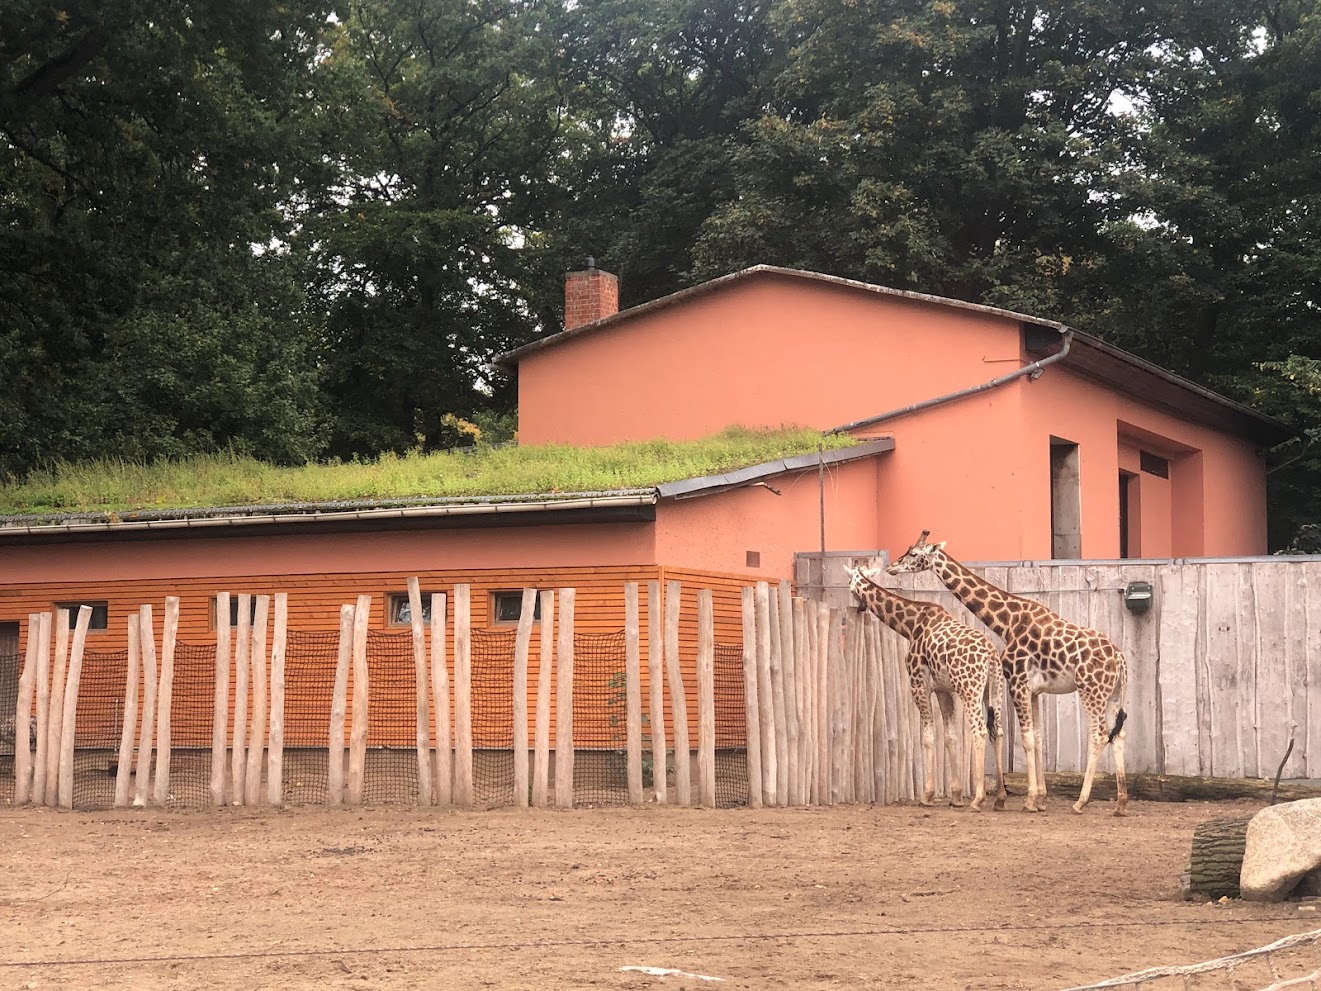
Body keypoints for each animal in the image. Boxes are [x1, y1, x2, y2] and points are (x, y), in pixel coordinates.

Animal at [847, 564, 1007, 812]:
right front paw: (956, 795)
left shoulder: (918, 683)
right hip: (994, 690)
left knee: (979, 730)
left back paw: (978, 798)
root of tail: (990, 655)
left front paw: (927, 795)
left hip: (970, 689)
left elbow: (927, 736)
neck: (911, 625)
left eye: (849, 585)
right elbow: (950, 736)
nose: (859, 606)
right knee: (997, 731)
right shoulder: (944, 689)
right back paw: (999, 797)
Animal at [887, 531, 1129, 816]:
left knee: (1099, 735)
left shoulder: (1017, 682)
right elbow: (1037, 737)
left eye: (913, 554)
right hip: (1113, 695)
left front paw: (1030, 800)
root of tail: (1121, 661)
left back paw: (1080, 802)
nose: (891, 568)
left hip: (1092, 692)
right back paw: (1121, 803)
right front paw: (1040, 799)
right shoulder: (1034, 691)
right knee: (1118, 735)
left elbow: (1026, 739)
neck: (1008, 622)